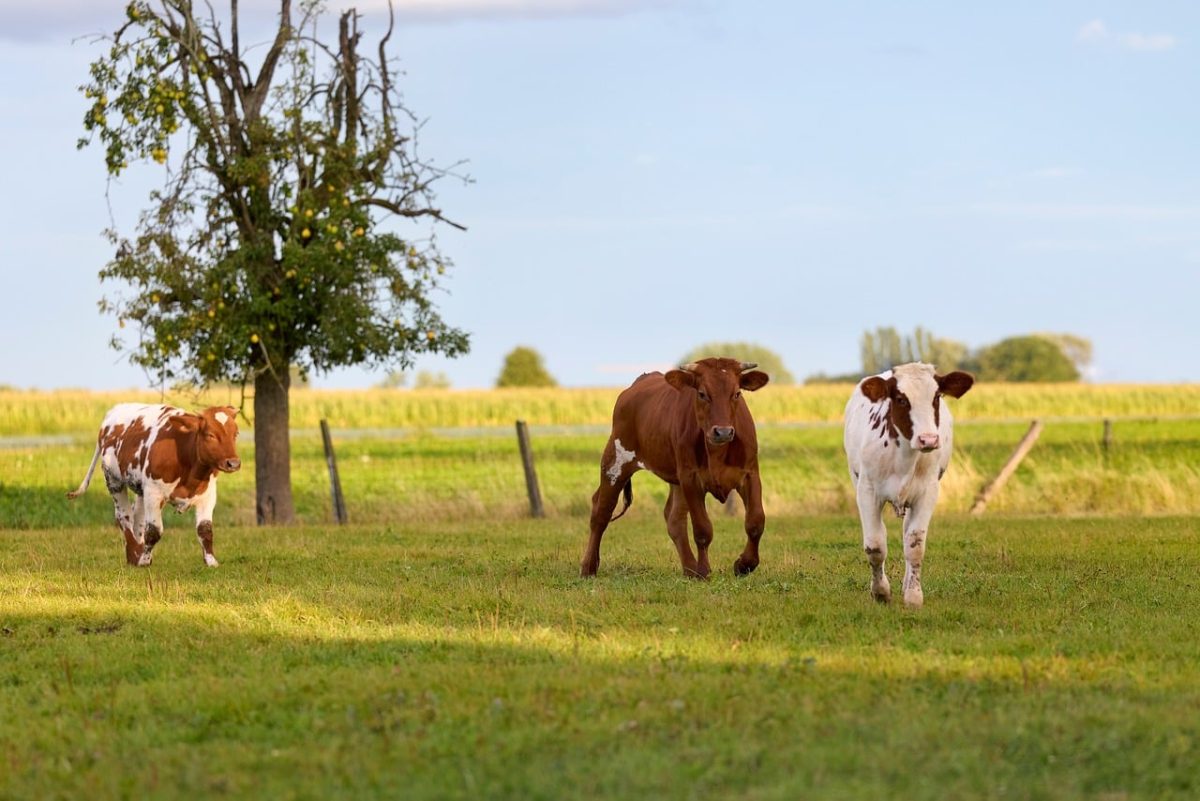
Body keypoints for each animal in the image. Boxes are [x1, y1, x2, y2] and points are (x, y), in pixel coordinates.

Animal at [67, 404, 242, 567]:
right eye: (210, 435)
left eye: (236, 434)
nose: (233, 463)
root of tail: (113, 411)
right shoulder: (153, 492)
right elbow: (153, 531)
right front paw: (144, 560)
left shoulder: (208, 496)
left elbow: (205, 530)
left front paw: (211, 561)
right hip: (114, 481)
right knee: (124, 516)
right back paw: (135, 553)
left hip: (140, 490)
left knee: (137, 517)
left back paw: (134, 554)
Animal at [580, 358, 770, 579]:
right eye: (702, 393)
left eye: (737, 393)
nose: (723, 432)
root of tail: (637, 384)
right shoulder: (691, 479)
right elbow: (702, 530)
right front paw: (704, 571)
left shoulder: (750, 475)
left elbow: (755, 522)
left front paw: (744, 564)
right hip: (615, 461)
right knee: (601, 511)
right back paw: (588, 567)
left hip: (675, 482)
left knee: (674, 519)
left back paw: (690, 569)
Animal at [843, 362, 974, 607]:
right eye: (901, 399)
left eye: (936, 397)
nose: (928, 439)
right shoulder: (867, 491)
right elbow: (875, 545)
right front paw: (880, 591)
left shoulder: (927, 493)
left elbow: (914, 545)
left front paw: (913, 595)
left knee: (907, 533)